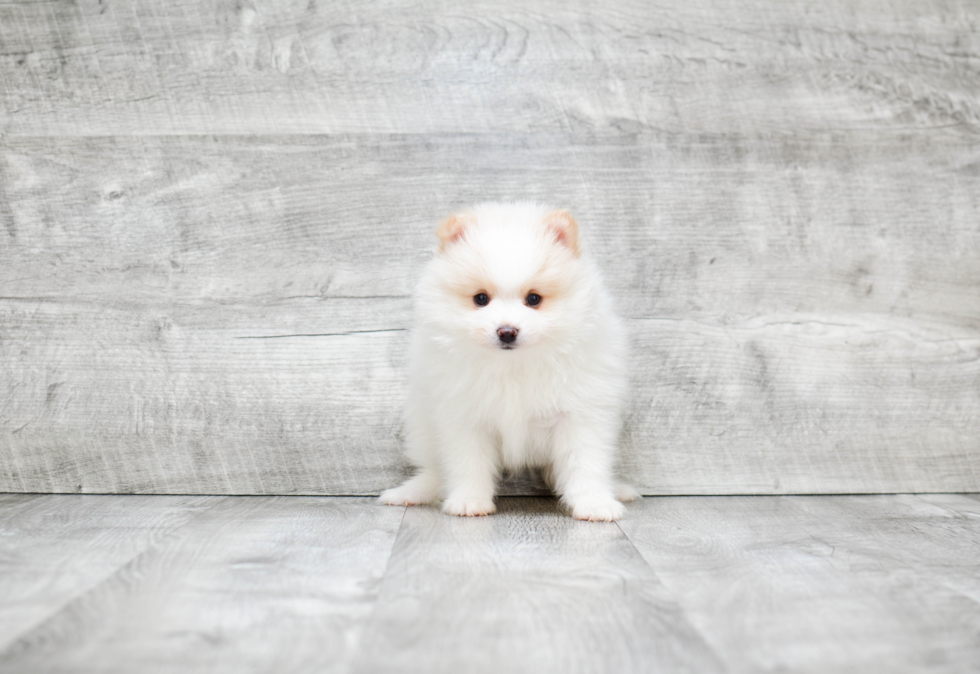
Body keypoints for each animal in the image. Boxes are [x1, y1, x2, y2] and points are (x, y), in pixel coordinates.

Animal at [378, 201, 640, 520]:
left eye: (534, 299)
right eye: (480, 299)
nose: (506, 331)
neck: (514, 366)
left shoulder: (579, 414)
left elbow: (585, 462)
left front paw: (595, 503)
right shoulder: (464, 416)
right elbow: (468, 462)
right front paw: (469, 501)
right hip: (423, 429)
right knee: (435, 471)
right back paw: (411, 492)